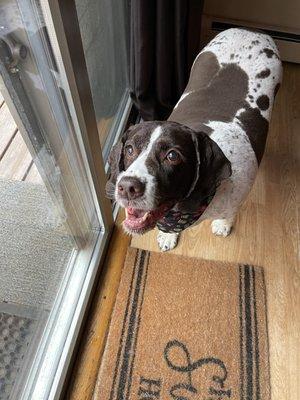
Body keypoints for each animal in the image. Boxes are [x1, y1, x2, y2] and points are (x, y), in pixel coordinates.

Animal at [105, 28, 282, 250]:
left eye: (172, 155)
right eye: (129, 149)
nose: (128, 187)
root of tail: (249, 30)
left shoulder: (238, 196)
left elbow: (230, 212)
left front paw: (223, 224)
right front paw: (168, 236)